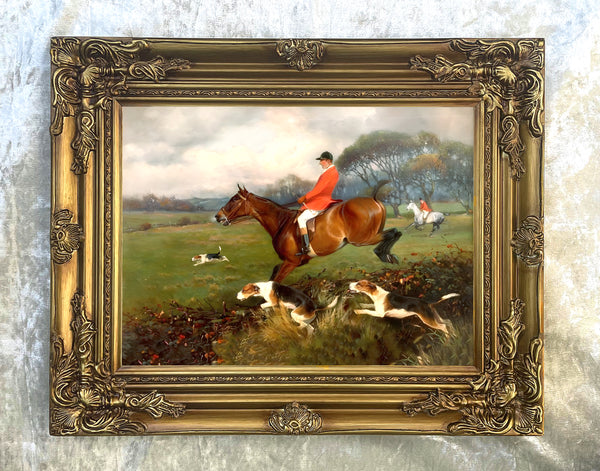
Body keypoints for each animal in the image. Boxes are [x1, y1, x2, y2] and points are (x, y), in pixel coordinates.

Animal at [215, 184, 402, 282]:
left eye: (234, 199)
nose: (218, 216)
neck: (282, 222)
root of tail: (374, 199)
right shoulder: (294, 262)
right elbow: (274, 274)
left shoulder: (291, 262)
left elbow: (276, 281)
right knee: (395, 232)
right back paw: (388, 256)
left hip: (361, 239)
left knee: (392, 233)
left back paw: (383, 254)